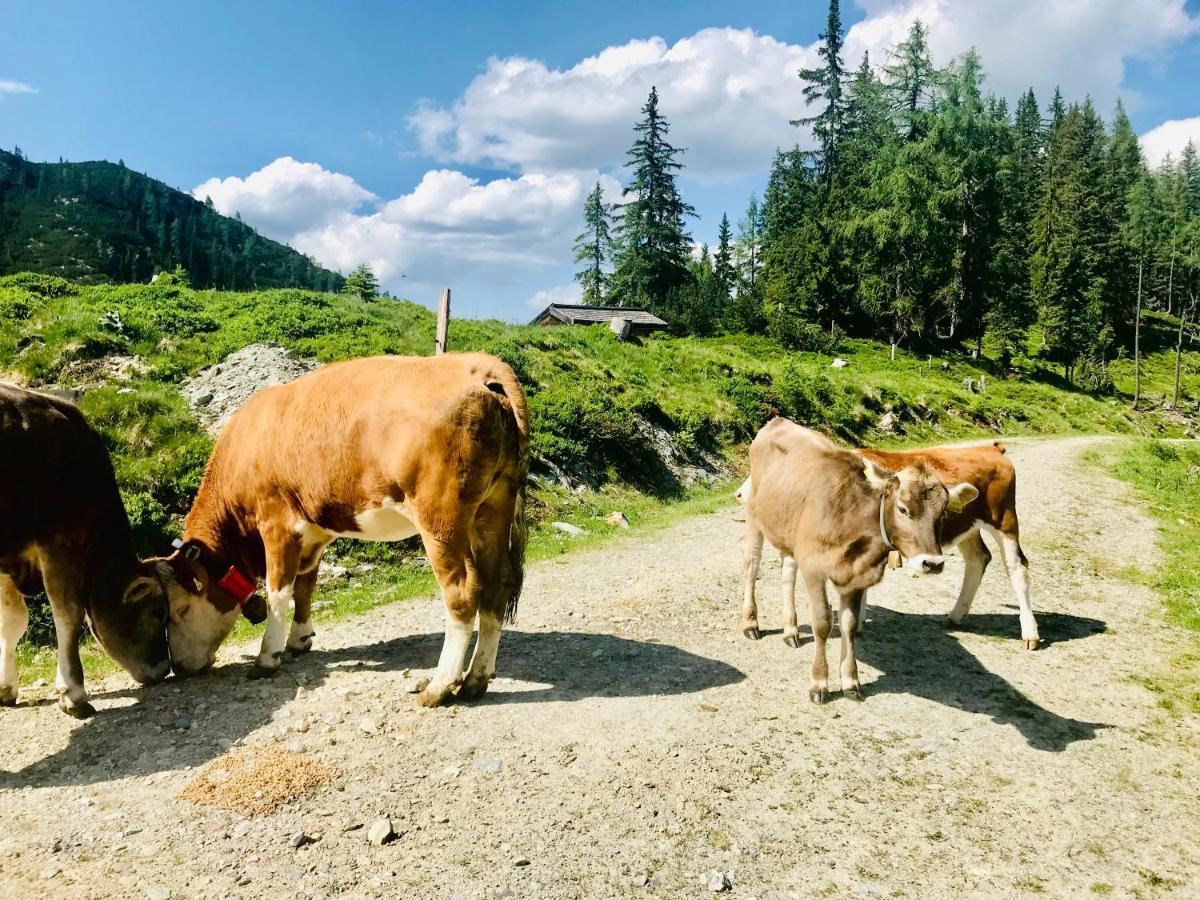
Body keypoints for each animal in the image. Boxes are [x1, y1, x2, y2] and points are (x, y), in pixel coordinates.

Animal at [0, 386, 171, 720]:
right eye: (158, 612)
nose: (164, 668)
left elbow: (12, 619)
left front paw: (5, 688)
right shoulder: (63, 537)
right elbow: (69, 613)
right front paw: (74, 694)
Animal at [162, 355, 528, 710]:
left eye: (180, 609)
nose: (177, 668)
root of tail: (479, 366)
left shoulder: (276, 521)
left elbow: (278, 590)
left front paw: (267, 657)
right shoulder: (314, 529)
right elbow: (305, 585)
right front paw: (299, 639)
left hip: (441, 517)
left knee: (463, 590)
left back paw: (439, 686)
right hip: (493, 508)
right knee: (497, 582)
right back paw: (475, 680)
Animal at [744, 420, 979, 710]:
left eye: (944, 511)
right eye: (902, 508)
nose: (932, 563)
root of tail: (778, 421)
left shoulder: (856, 577)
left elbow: (849, 624)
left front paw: (850, 681)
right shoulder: (814, 568)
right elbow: (822, 623)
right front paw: (819, 683)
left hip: (787, 532)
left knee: (787, 573)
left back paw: (790, 631)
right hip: (754, 516)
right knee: (752, 565)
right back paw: (751, 624)